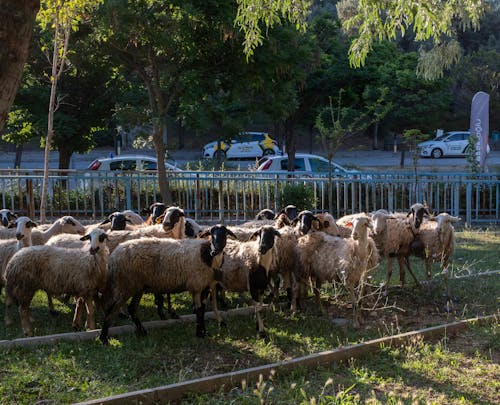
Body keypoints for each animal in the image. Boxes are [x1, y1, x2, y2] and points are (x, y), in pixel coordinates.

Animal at [99, 223, 236, 342]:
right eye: (212, 234)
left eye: (225, 234)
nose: (216, 250)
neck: (207, 255)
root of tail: (114, 256)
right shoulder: (196, 285)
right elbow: (199, 310)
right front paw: (199, 333)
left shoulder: (205, 286)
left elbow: (202, 310)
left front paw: (203, 331)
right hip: (125, 284)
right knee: (112, 309)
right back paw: (103, 339)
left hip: (137, 286)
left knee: (132, 308)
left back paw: (142, 332)